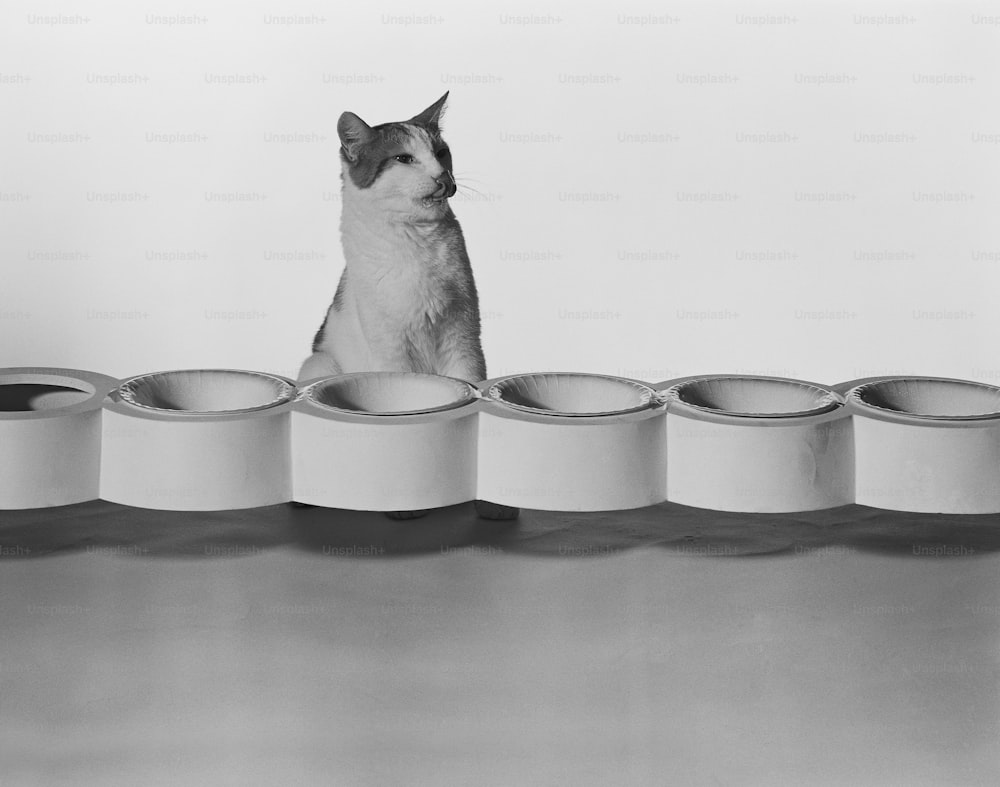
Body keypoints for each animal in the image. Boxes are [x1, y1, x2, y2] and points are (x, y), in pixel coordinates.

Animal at [296, 92, 516, 524]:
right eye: (403, 159)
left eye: (441, 153)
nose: (442, 177)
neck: (417, 240)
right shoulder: (393, 350)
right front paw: (405, 502)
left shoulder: (464, 340)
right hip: (319, 363)